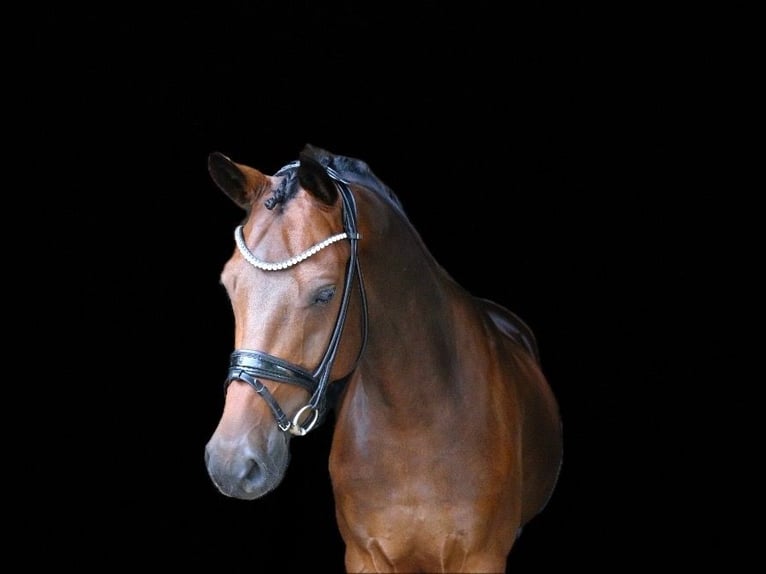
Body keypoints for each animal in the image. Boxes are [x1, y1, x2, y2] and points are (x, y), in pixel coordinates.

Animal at [204, 144, 564, 572]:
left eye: (325, 293)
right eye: (229, 286)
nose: (230, 464)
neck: (414, 426)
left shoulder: (483, 558)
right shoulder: (364, 557)